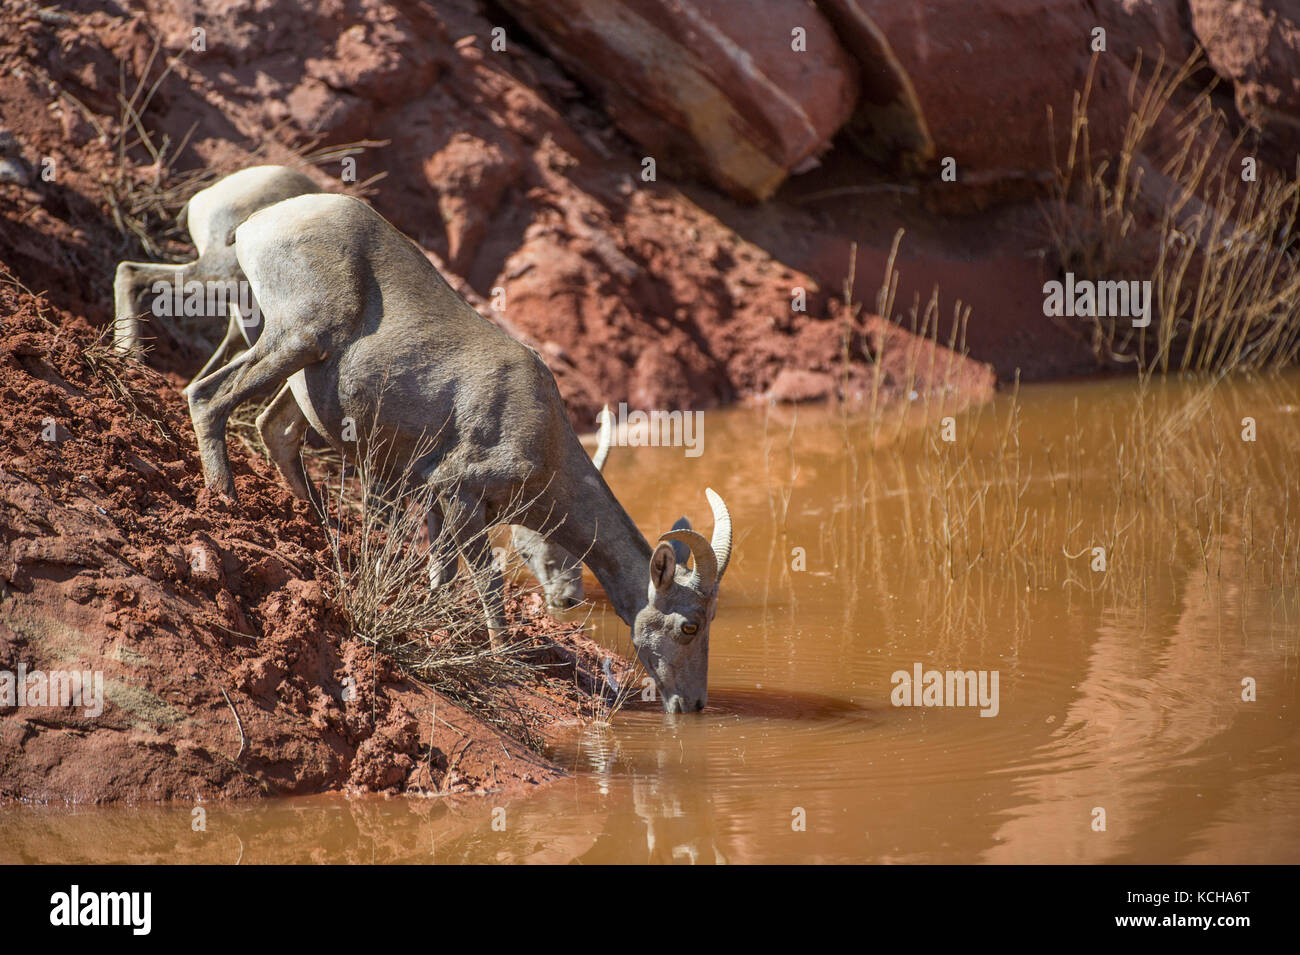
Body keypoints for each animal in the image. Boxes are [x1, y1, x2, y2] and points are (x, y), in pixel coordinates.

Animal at [188, 194, 733, 712]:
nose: (693, 704)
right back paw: (224, 501)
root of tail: (258, 223)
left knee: (275, 429)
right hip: (298, 337)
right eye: (690, 625)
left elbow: (442, 574)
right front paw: (502, 656)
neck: (544, 438)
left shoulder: (436, 498)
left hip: (300, 372)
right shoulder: (462, 495)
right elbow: (488, 581)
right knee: (208, 396)